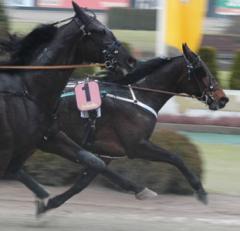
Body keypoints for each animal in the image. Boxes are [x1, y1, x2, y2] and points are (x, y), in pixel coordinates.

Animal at [0, 1, 141, 215]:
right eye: (99, 30)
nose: (130, 60)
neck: (28, 90)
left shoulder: (47, 137)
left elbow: (93, 160)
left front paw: (140, 189)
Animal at [47, 42, 228, 210]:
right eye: (202, 70)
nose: (223, 98)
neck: (140, 96)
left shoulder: (107, 153)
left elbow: (83, 181)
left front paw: (50, 204)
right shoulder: (136, 146)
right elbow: (175, 158)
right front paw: (200, 190)